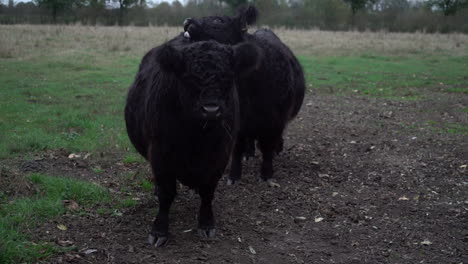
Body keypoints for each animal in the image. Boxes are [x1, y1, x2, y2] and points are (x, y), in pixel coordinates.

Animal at [125, 38, 260, 246]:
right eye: (188, 79)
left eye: (228, 78)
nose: (211, 110)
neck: (197, 139)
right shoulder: (160, 154)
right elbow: (166, 193)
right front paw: (159, 230)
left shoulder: (220, 155)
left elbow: (208, 191)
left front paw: (206, 223)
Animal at [183, 5, 308, 184]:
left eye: (218, 20)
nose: (188, 21)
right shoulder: (235, 121)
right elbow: (237, 148)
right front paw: (234, 176)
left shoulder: (275, 119)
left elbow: (267, 146)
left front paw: (266, 174)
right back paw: (249, 153)